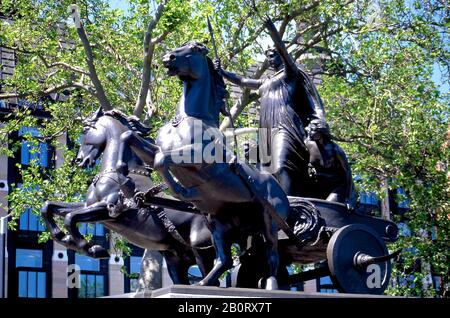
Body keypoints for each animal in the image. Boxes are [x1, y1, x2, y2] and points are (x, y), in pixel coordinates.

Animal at [118, 41, 290, 290]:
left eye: (194, 49)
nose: (167, 57)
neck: (188, 119)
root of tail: (281, 191)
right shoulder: (158, 149)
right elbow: (130, 138)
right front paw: (124, 178)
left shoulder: (198, 156)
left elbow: (162, 161)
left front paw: (182, 191)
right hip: (220, 223)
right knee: (225, 259)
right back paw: (203, 283)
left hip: (269, 221)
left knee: (272, 254)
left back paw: (271, 285)